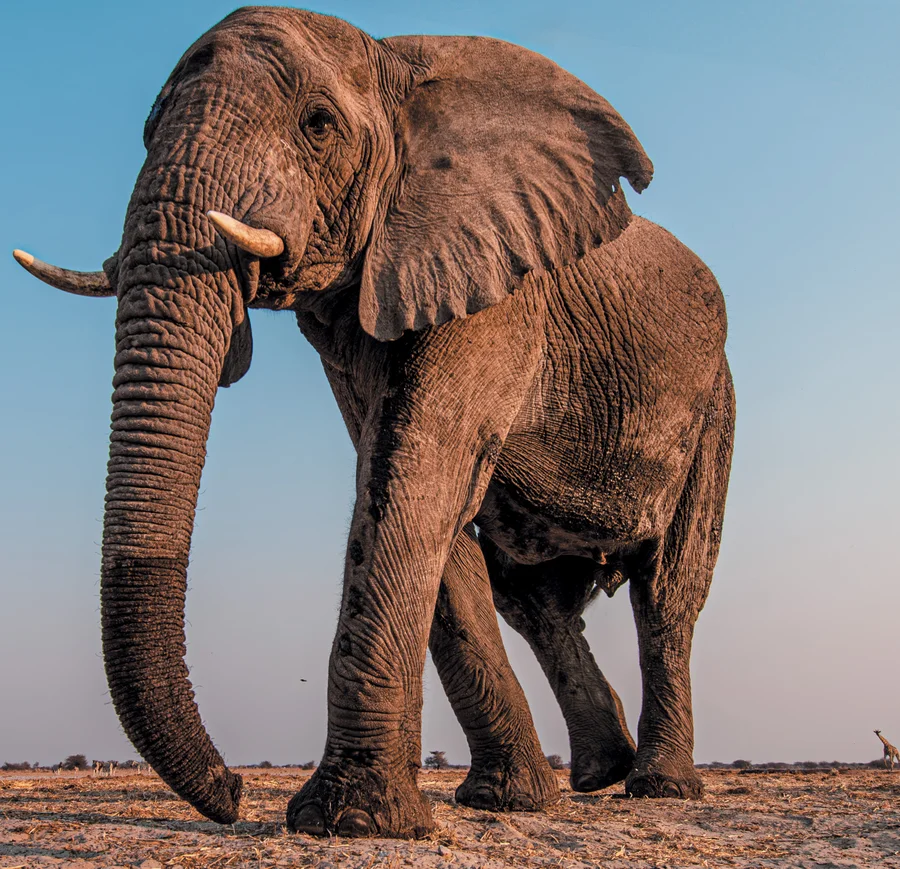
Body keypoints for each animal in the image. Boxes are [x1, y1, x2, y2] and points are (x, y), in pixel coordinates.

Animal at [13, 6, 734, 839]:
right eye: (145, 131)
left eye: (318, 125)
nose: (232, 788)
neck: (395, 68)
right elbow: (413, 493)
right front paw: (498, 802)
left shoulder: (498, 290)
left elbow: (413, 477)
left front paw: (350, 821)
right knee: (533, 599)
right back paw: (595, 774)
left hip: (715, 408)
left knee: (666, 594)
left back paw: (658, 785)